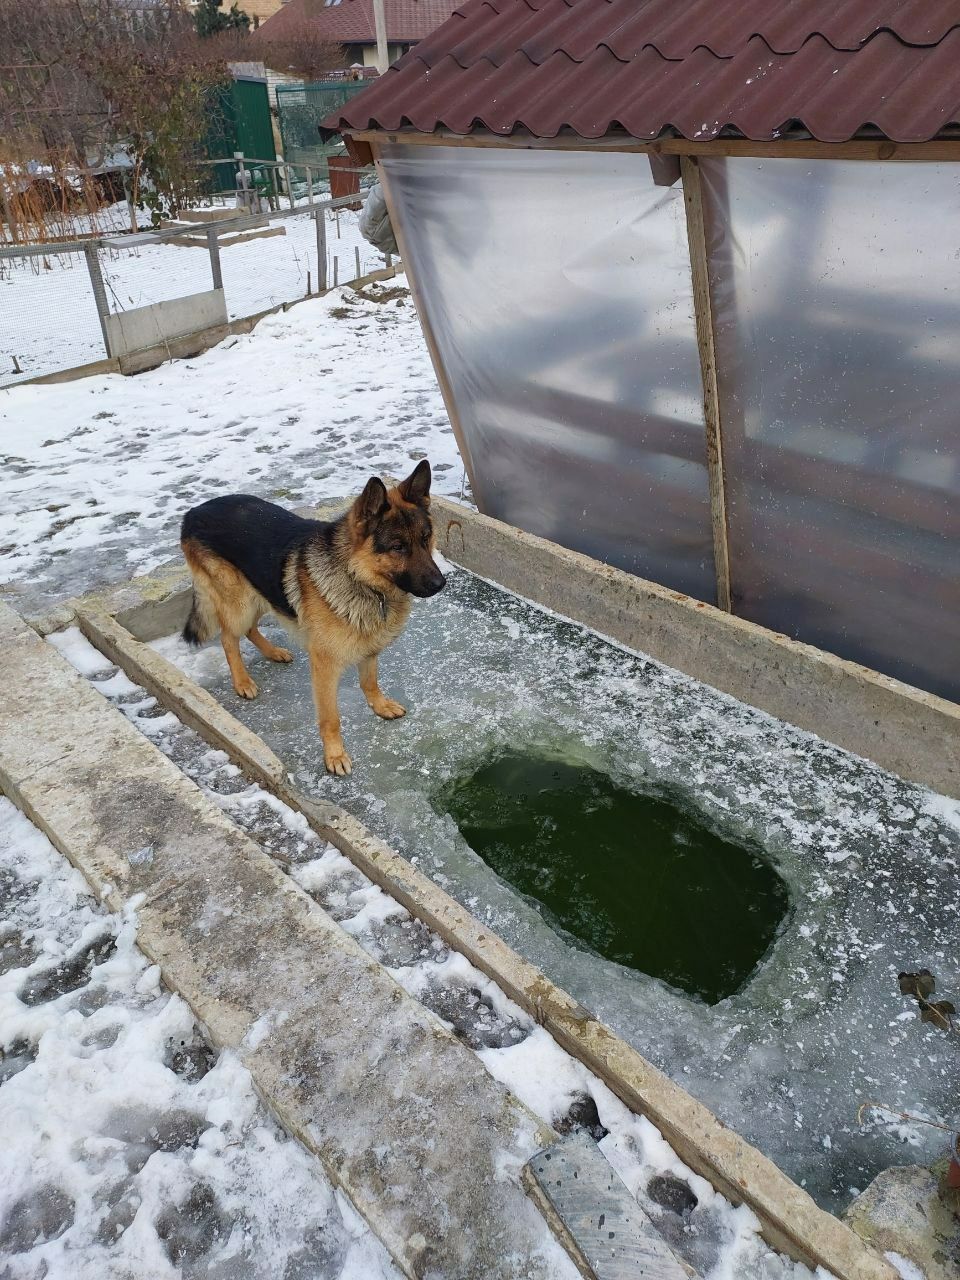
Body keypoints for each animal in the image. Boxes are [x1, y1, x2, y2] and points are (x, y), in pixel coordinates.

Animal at [180, 463, 448, 773]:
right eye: (398, 547)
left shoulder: (369, 649)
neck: (360, 578)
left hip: (262, 590)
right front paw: (334, 756)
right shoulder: (324, 666)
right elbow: (331, 718)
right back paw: (242, 682)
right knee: (228, 638)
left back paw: (273, 652)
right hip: (240, 602)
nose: (440, 583)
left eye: (425, 538)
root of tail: (193, 512)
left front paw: (380, 706)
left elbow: (370, 682)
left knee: (249, 629)